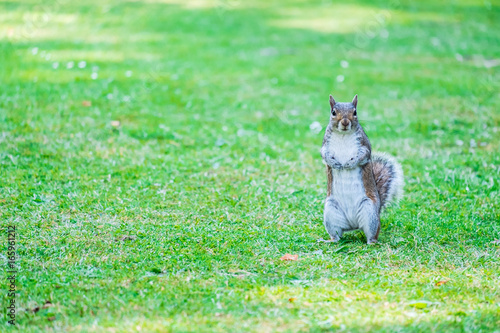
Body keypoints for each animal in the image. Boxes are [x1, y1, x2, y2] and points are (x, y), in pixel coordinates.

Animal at [318, 93, 404, 244]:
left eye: (355, 112)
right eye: (333, 112)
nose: (345, 122)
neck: (343, 135)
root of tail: (353, 225)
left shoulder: (364, 145)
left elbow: (363, 155)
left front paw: (349, 164)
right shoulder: (325, 145)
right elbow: (324, 154)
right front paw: (335, 163)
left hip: (369, 212)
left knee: (372, 234)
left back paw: (372, 242)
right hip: (331, 212)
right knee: (337, 235)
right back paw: (330, 240)